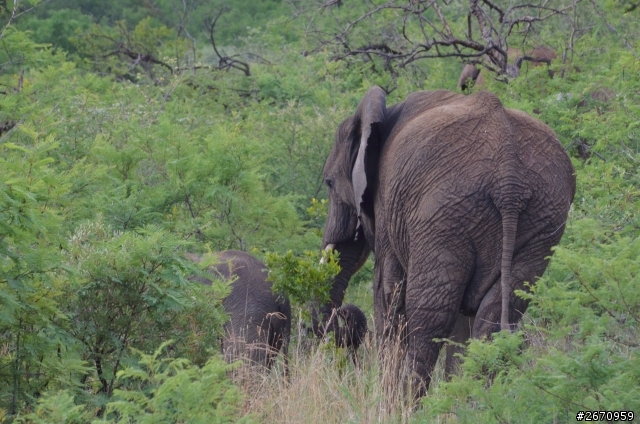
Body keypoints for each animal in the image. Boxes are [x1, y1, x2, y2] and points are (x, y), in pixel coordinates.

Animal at [320, 88, 576, 396]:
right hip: (541, 217)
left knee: (430, 317)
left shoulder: (389, 206)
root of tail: (509, 179)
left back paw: (406, 402)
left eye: (329, 183)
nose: (345, 315)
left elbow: (388, 292)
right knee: (493, 316)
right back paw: (471, 402)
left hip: (442, 213)